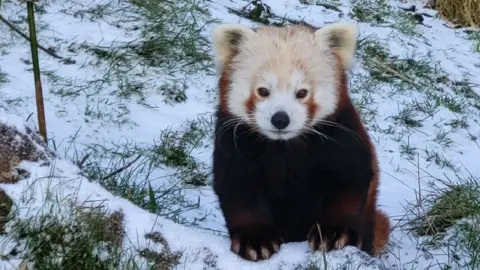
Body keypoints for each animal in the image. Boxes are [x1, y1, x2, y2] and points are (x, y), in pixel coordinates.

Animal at [210, 21, 390, 262]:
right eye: (263, 91)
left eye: (302, 92)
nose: (280, 119)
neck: (284, 147)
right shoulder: (234, 142)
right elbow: (238, 189)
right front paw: (255, 239)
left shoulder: (342, 137)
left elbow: (349, 182)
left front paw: (332, 233)